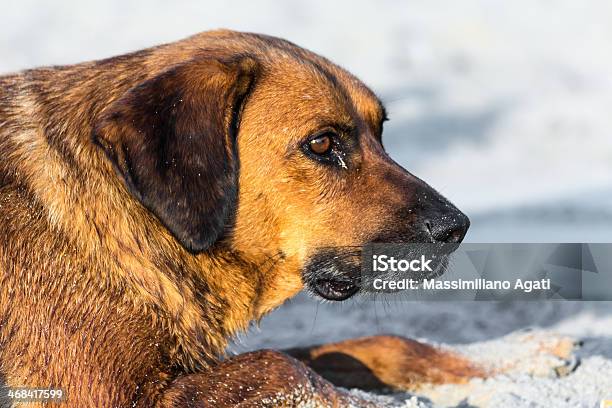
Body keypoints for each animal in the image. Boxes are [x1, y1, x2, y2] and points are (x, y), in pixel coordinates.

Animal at [0, 30, 478, 406]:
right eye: (322, 144)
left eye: (380, 133)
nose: (455, 228)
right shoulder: (104, 393)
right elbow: (282, 366)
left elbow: (375, 345)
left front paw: (476, 367)